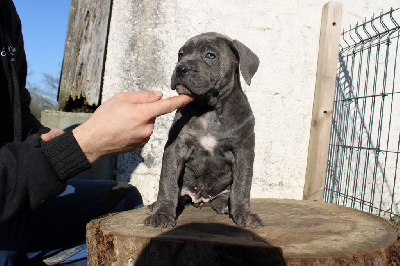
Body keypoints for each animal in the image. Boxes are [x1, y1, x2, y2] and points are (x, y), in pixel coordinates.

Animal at [143, 32, 262, 228]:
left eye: (210, 55)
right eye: (181, 54)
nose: (181, 68)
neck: (208, 110)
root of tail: (200, 199)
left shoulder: (243, 151)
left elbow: (242, 185)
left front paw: (244, 213)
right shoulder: (175, 148)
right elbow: (167, 181)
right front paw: (162, 212)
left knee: (225, 194)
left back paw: (224, 204)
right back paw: (157, 205)